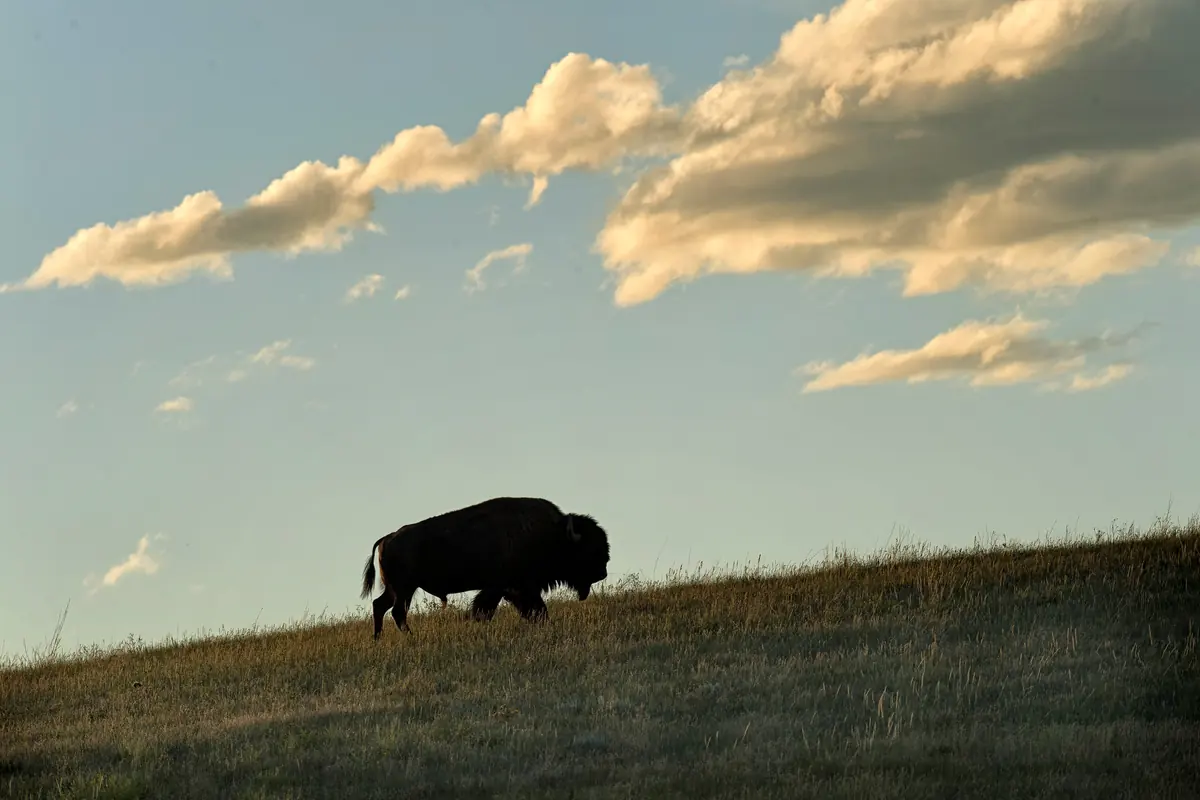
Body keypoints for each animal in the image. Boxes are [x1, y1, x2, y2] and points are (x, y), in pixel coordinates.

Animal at [359, 496, 611, 638]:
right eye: (588, 549)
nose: (603, 572)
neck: (552, 534)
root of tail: (387, 538)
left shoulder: (510, 590)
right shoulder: (512, 588)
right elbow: (517, 609)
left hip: (396, 589)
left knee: (380, 606)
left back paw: (378, 638)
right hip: (405, 589)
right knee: (396, 612)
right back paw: (410, 638)